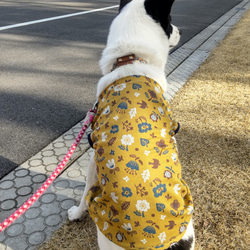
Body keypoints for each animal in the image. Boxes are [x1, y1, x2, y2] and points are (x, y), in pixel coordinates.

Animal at [68, 0, 195, 250]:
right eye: (170, 21)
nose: (183, 31)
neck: (130, 58)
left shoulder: (93, 158)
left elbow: (84, 192)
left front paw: (77, 213)